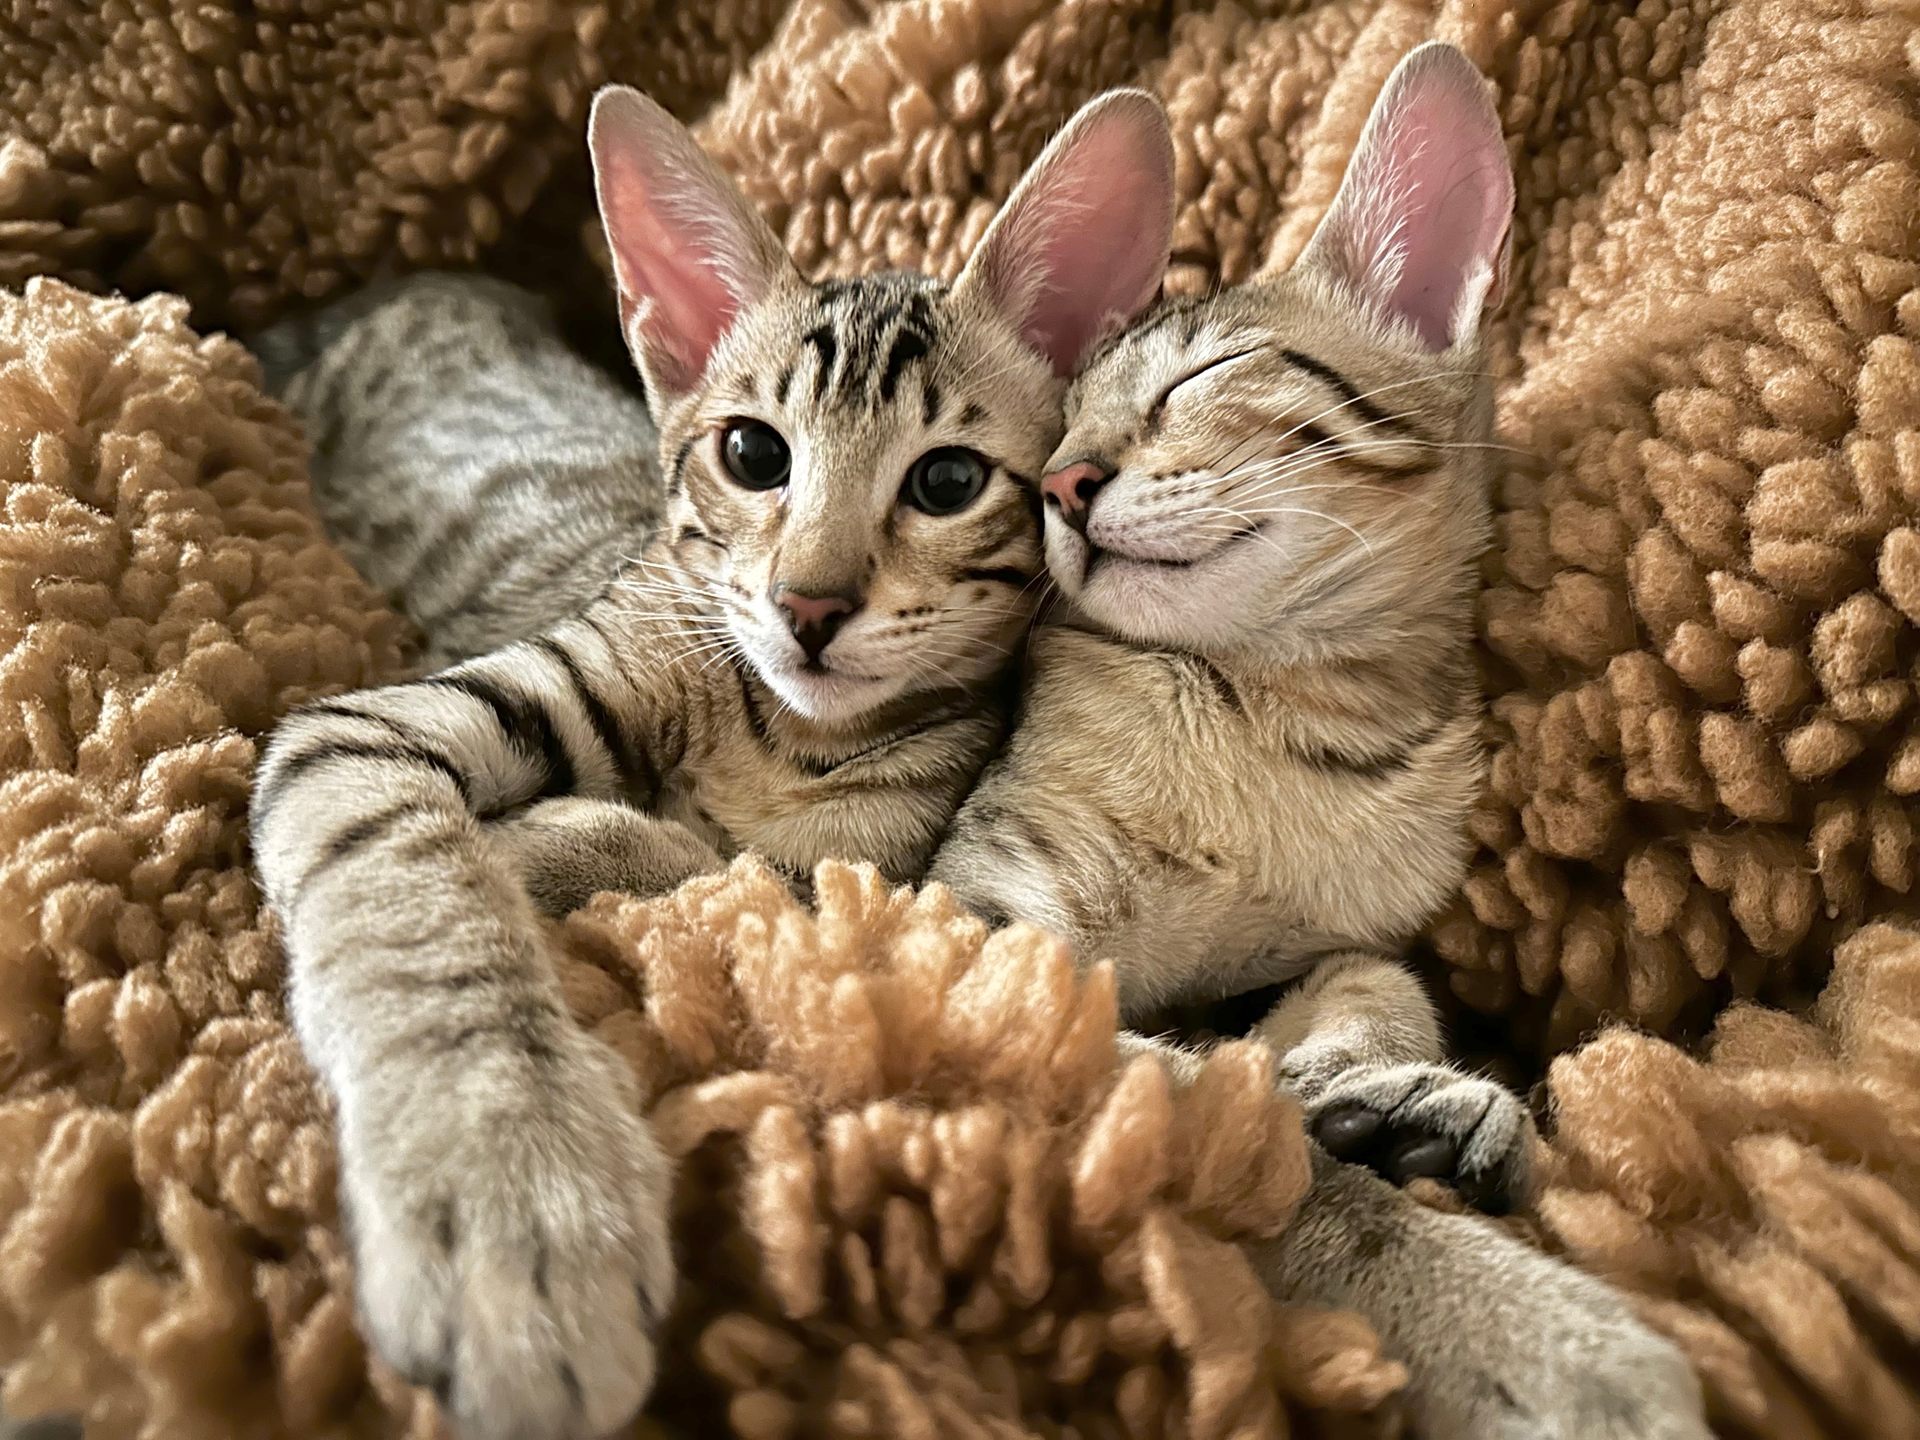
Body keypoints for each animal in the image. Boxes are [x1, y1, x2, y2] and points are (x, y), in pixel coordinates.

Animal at [249, 87, 1175, 1440]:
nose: (810, 605)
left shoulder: (870, 895)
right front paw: (513, 1184)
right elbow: (424, 889)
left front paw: (561, 847)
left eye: (948, 480)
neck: (783, 737)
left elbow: (728, 878)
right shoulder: (357, 731)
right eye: (752, 455)